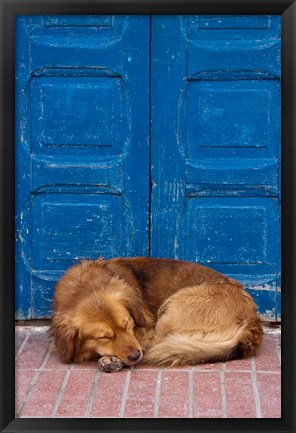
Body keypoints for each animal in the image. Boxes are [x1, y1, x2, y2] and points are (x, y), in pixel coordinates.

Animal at [50, 256, 262, 372]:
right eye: (104, 337)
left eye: (127, 324)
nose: (135, 355)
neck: (85, 285)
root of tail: (253, 316)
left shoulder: (146, 327)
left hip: (173, 309)